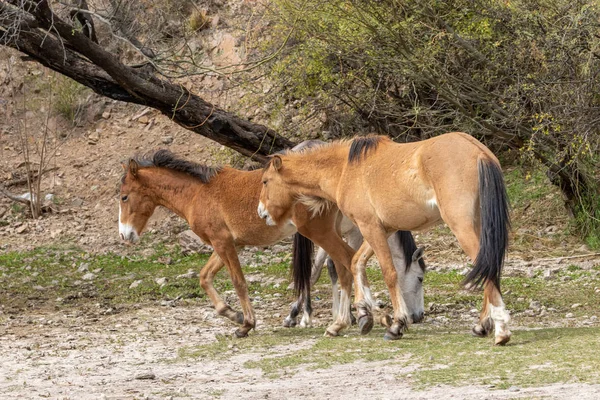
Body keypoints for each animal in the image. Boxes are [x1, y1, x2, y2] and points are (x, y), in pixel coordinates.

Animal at [118, 148, 426, 336]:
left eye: (123, 196)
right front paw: (231, 314)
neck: (198, 193)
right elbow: (205, 277)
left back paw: (363, 318)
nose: (125, 235)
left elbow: (238, 281)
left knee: (347, 263)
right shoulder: (230, 243)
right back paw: (356, 320)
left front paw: (246, 324)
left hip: (321, 232)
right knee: (345, 266)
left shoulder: (222, 242)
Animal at [258, 133, 510, 346]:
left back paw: (500, 330)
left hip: (461, 227)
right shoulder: (380, 229)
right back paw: (482, 325)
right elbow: (356, 262)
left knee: (486, 266)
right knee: (487, 265)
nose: (261, 213)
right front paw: (361, 313)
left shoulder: (368, 227)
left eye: (265, 181)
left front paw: (395, 324)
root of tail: (480, 153)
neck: (346, 169)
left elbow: (388, 273)